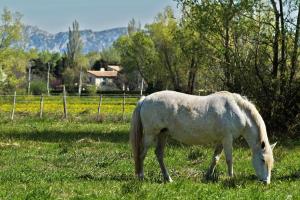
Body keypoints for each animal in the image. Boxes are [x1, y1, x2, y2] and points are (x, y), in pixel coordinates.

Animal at [130, 90, 276, 184]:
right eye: (262, 160)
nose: (266, 182)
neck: (238, 110)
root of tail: (145, 99)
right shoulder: (227, 139)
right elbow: (229, 159)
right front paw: (231, 178)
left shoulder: (221, 141)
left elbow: (215, 159)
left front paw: (208, 176)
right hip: (150, 134)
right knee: (142, 154)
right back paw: (141, 177)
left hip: (163, 134)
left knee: (159, 154)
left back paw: (168, 179)